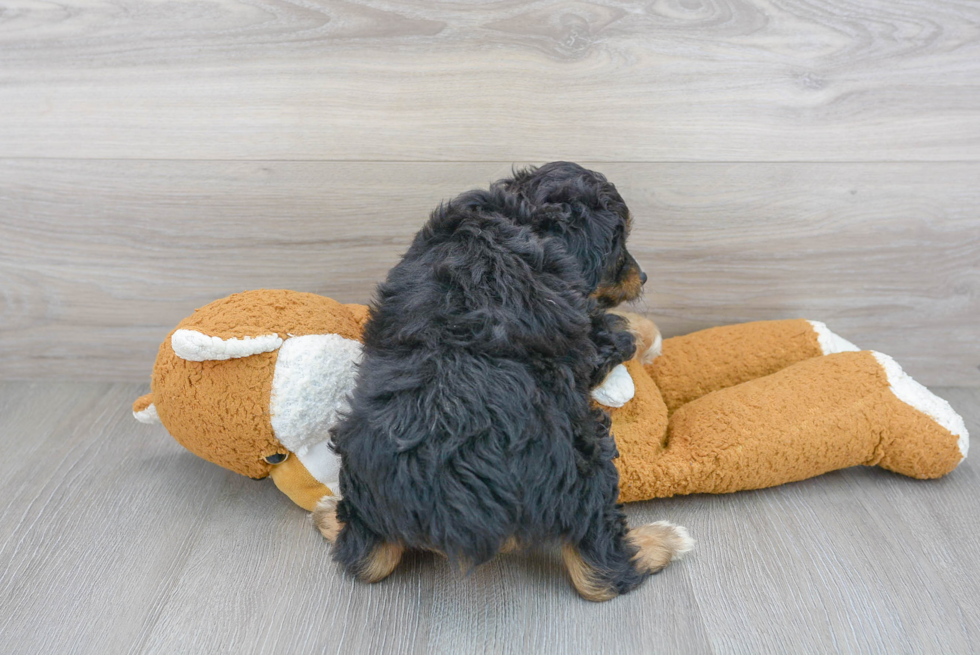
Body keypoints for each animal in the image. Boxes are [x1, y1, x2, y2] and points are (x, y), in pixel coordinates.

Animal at [318, 163, 692, 600]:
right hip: (586, 460)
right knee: (598, 572)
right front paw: (650, 337)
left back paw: (327, 515)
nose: (644, 276)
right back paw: (662, 541)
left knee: (364, 558)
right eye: (618, 240)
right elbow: (627, 327)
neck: (519, 216)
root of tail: (456, 508)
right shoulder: (589, 337)